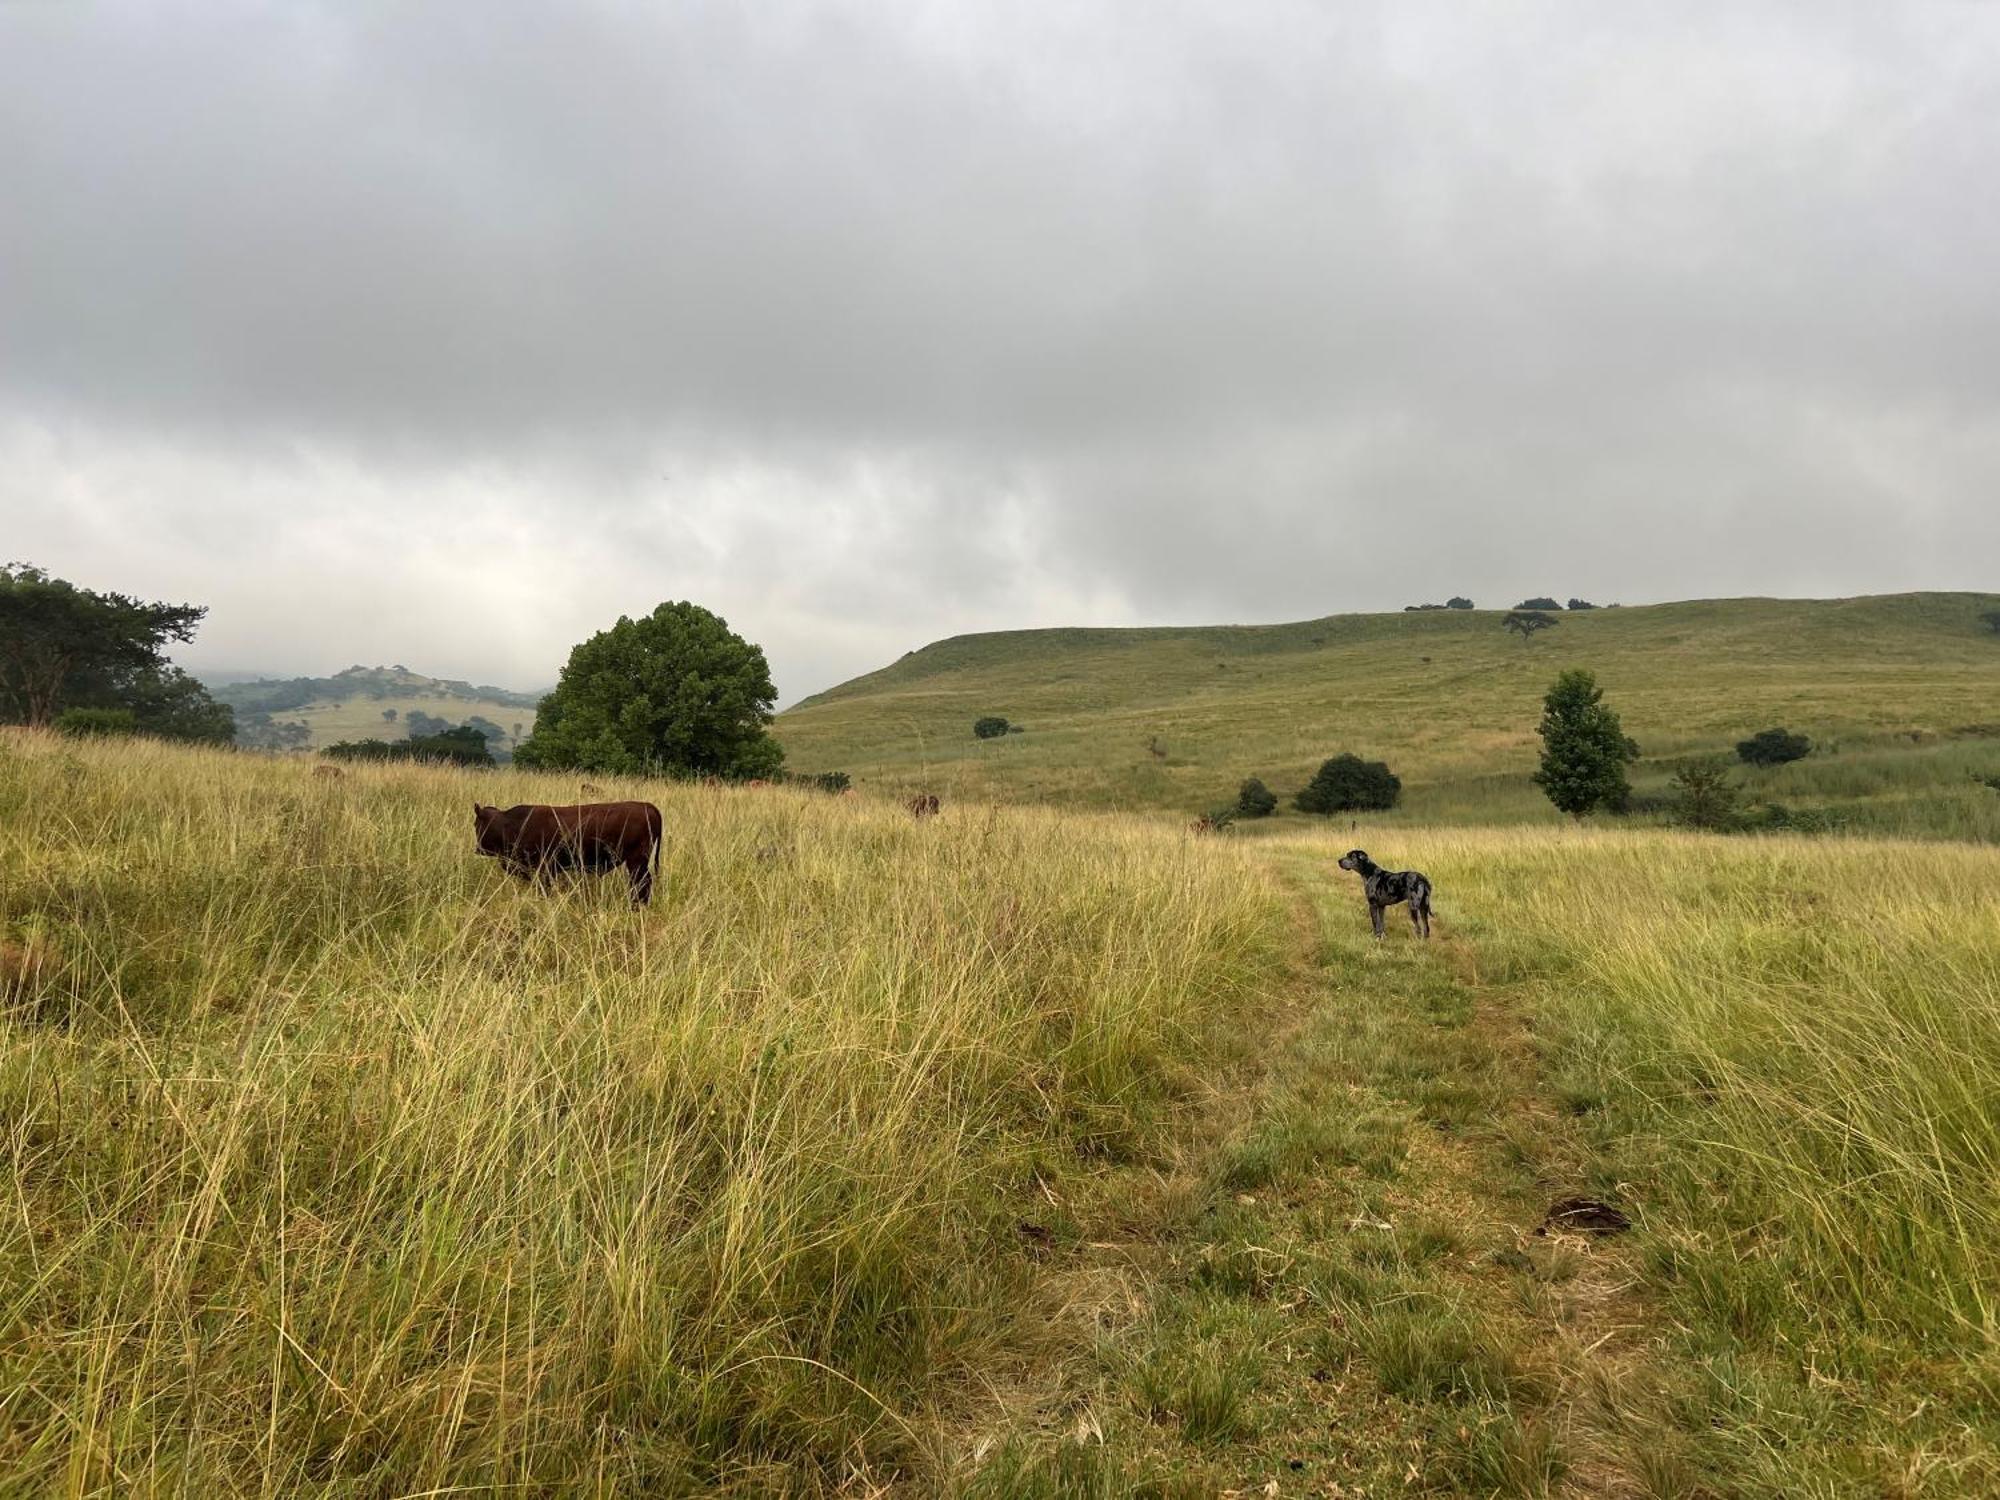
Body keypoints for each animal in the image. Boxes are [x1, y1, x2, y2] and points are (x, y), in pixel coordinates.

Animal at [470, 804, 660, 912]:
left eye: (476, 824)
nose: (478, 849)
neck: (510, 824)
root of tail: (648, 807)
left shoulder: (545, 870)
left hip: (636, 862)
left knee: (642, 882)